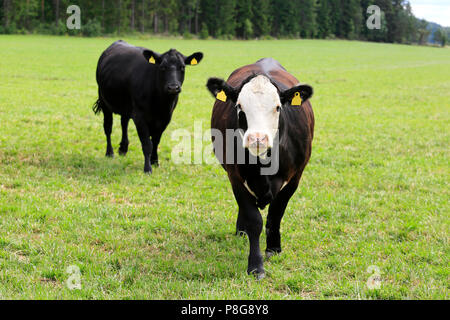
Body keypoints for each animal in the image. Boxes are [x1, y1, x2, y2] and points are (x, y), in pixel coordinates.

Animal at [94, 42, 203, 175]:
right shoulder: (140, 117)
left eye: (182, 67)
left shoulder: (165, 118)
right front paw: (148, 168)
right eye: (162, 67)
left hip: (126, 106)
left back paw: (123, 148)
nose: (173, 87)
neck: (160, 104)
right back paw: (110, 152)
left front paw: (155, 161)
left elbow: (156, 141)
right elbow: (147, 144)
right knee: (108, 127)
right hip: (104, 101)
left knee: (124, 123)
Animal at [207, 58, 314, 280]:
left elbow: (276, 213)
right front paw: (256, 265)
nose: (258, 138)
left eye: (278, 107)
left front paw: (273, 248)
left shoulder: (295, 178)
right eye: (239, 106)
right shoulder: (235, 178)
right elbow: (253, 220)